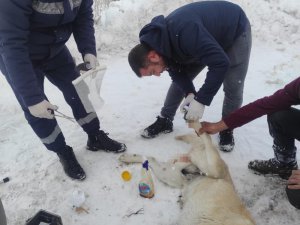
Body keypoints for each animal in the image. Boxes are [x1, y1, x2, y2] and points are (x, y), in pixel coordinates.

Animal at [118, 121, 254, 225]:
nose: (185, 171)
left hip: (170, 175)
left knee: (150, 159)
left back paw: (127, 158)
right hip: (212, 167)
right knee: (206, 136)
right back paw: (197, 123)